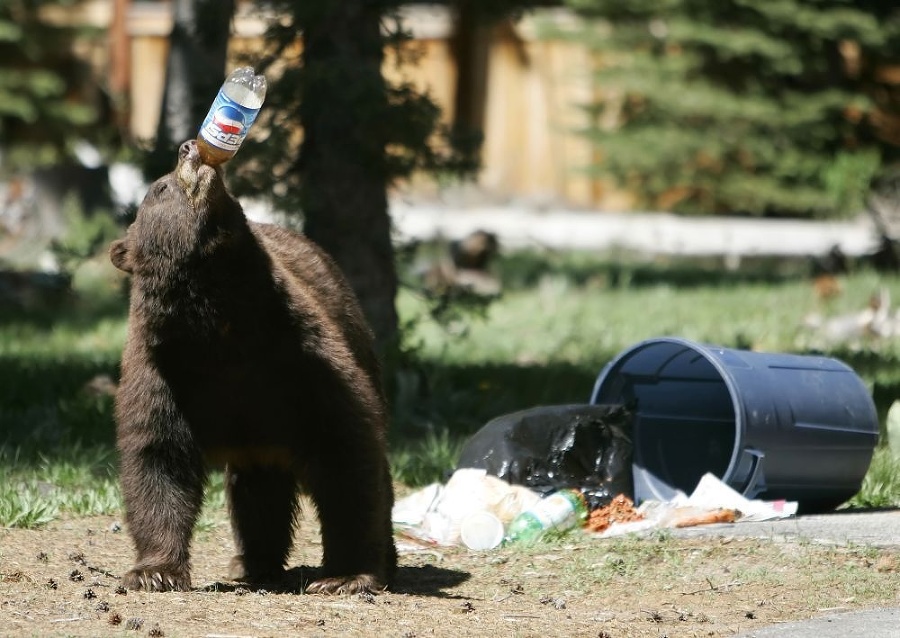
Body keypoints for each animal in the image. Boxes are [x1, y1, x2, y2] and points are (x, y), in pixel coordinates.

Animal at [110, 139, 398, 596]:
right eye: (159, 188)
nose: (188, 147)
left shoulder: (301, 358)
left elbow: (346, 453)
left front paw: (345, 576)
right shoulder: (163, 370)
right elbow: (157, 457)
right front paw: (153, 571)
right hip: (256, 441)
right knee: (256, 490)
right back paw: (252, 562)